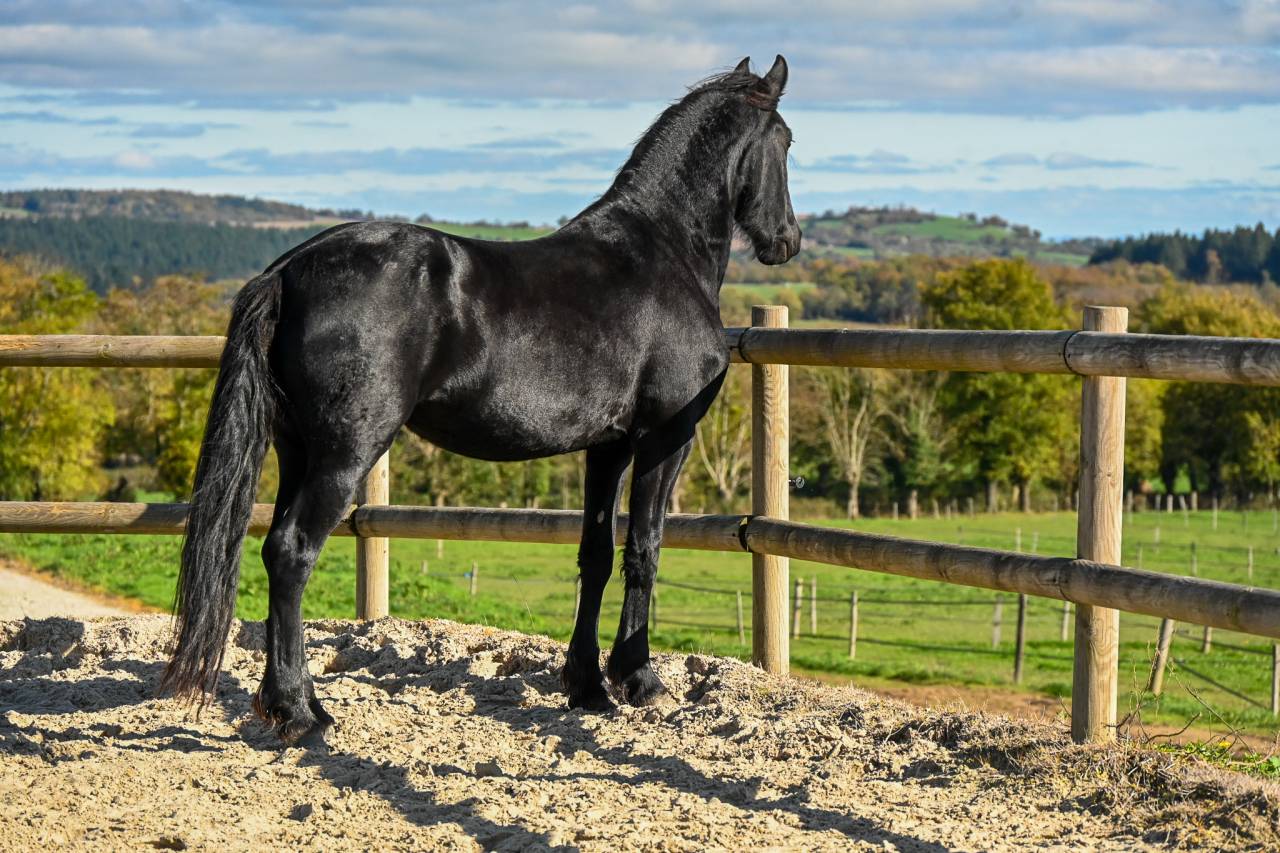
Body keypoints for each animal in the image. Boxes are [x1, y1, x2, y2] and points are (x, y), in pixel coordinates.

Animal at [161, 55, 801, 745]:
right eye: (787, 141)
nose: (787, 240)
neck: (660, 254)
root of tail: (289, 269)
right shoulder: (664, 438)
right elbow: (645, 549)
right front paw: (640, 681)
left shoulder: (607, 447)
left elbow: (597, 555)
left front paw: (588, 688)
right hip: (345, 451)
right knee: (291, 552)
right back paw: (301, 712)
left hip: (297, 450)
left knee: (273, 547)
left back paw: (291, 702)